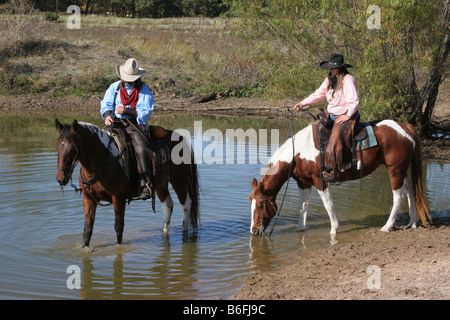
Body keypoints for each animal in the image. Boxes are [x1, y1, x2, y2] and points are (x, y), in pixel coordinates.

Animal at [55, 119, 199, 246]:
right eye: (57, 148)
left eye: (72, 149)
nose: (61, 179)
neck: (104, 160)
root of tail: (181, 139)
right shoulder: (88, 199)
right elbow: (87, 229)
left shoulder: (118, 198)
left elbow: (118, 227)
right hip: (161, 184)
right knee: (168, 206)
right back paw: (164, 232)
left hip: (179, 180)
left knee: (186, 204)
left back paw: (184, 233)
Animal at [250, 119, 432, 235]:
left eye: (259, 206)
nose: (254, 231)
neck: (299, 153)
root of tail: (406, 127)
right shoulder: (304, 183)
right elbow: (303, 207)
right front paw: (300, 229)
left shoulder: (320, 181)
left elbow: (328, 205)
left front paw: (334, 229)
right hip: (401, 169)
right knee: (410, 189)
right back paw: (412, 222)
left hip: (395, 170)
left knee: (398, 196)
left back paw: (387, 226)